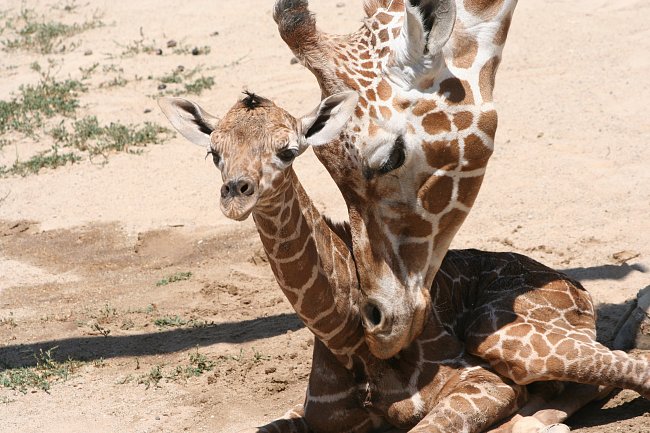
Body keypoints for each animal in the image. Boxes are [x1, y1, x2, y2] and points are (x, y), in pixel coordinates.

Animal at [158, 92, 628, 432]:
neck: (344, 337)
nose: (236, 194)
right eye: (213, 153)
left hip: (497, 331)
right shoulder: (318, 417)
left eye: (289, 150)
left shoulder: (483, 383)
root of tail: (577, 287)